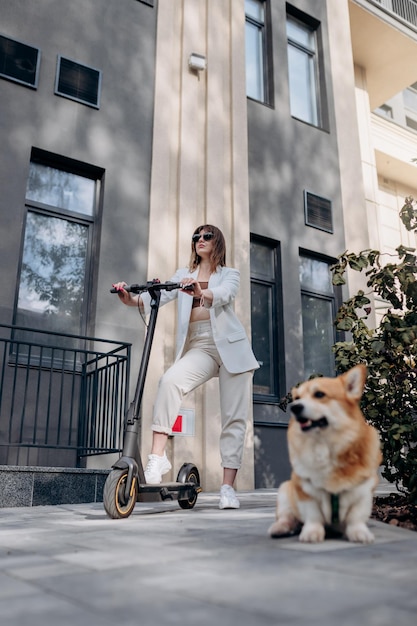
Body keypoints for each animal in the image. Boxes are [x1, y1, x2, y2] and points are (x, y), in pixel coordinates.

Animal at [268, 366, 382, 540]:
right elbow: (313, 514)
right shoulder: (305, 491)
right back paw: (280, 528)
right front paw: (312, 533)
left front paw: (359, 533)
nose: (294, 407)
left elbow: (356, 516)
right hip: (285, 491)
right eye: (297, 397)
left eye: (319, 395)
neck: (326, 446)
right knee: (287, 517)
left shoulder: (363, 492)